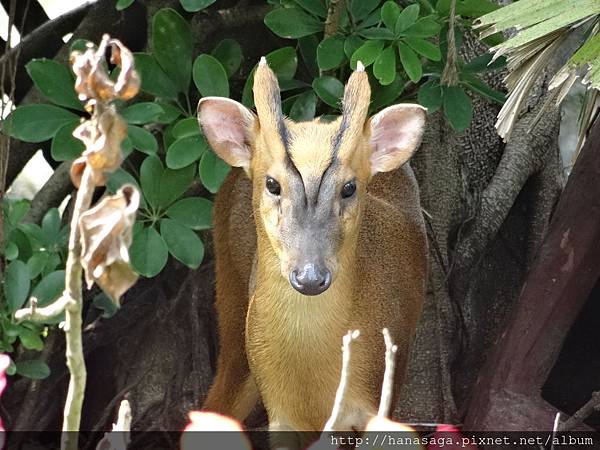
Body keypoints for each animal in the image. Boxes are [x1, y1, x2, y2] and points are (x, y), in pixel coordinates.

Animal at [197, 57, 426, 442]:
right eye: (272, 184)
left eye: (349, 187)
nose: (310, 276)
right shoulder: (283, 419)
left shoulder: (376, 401)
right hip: (231, 304)